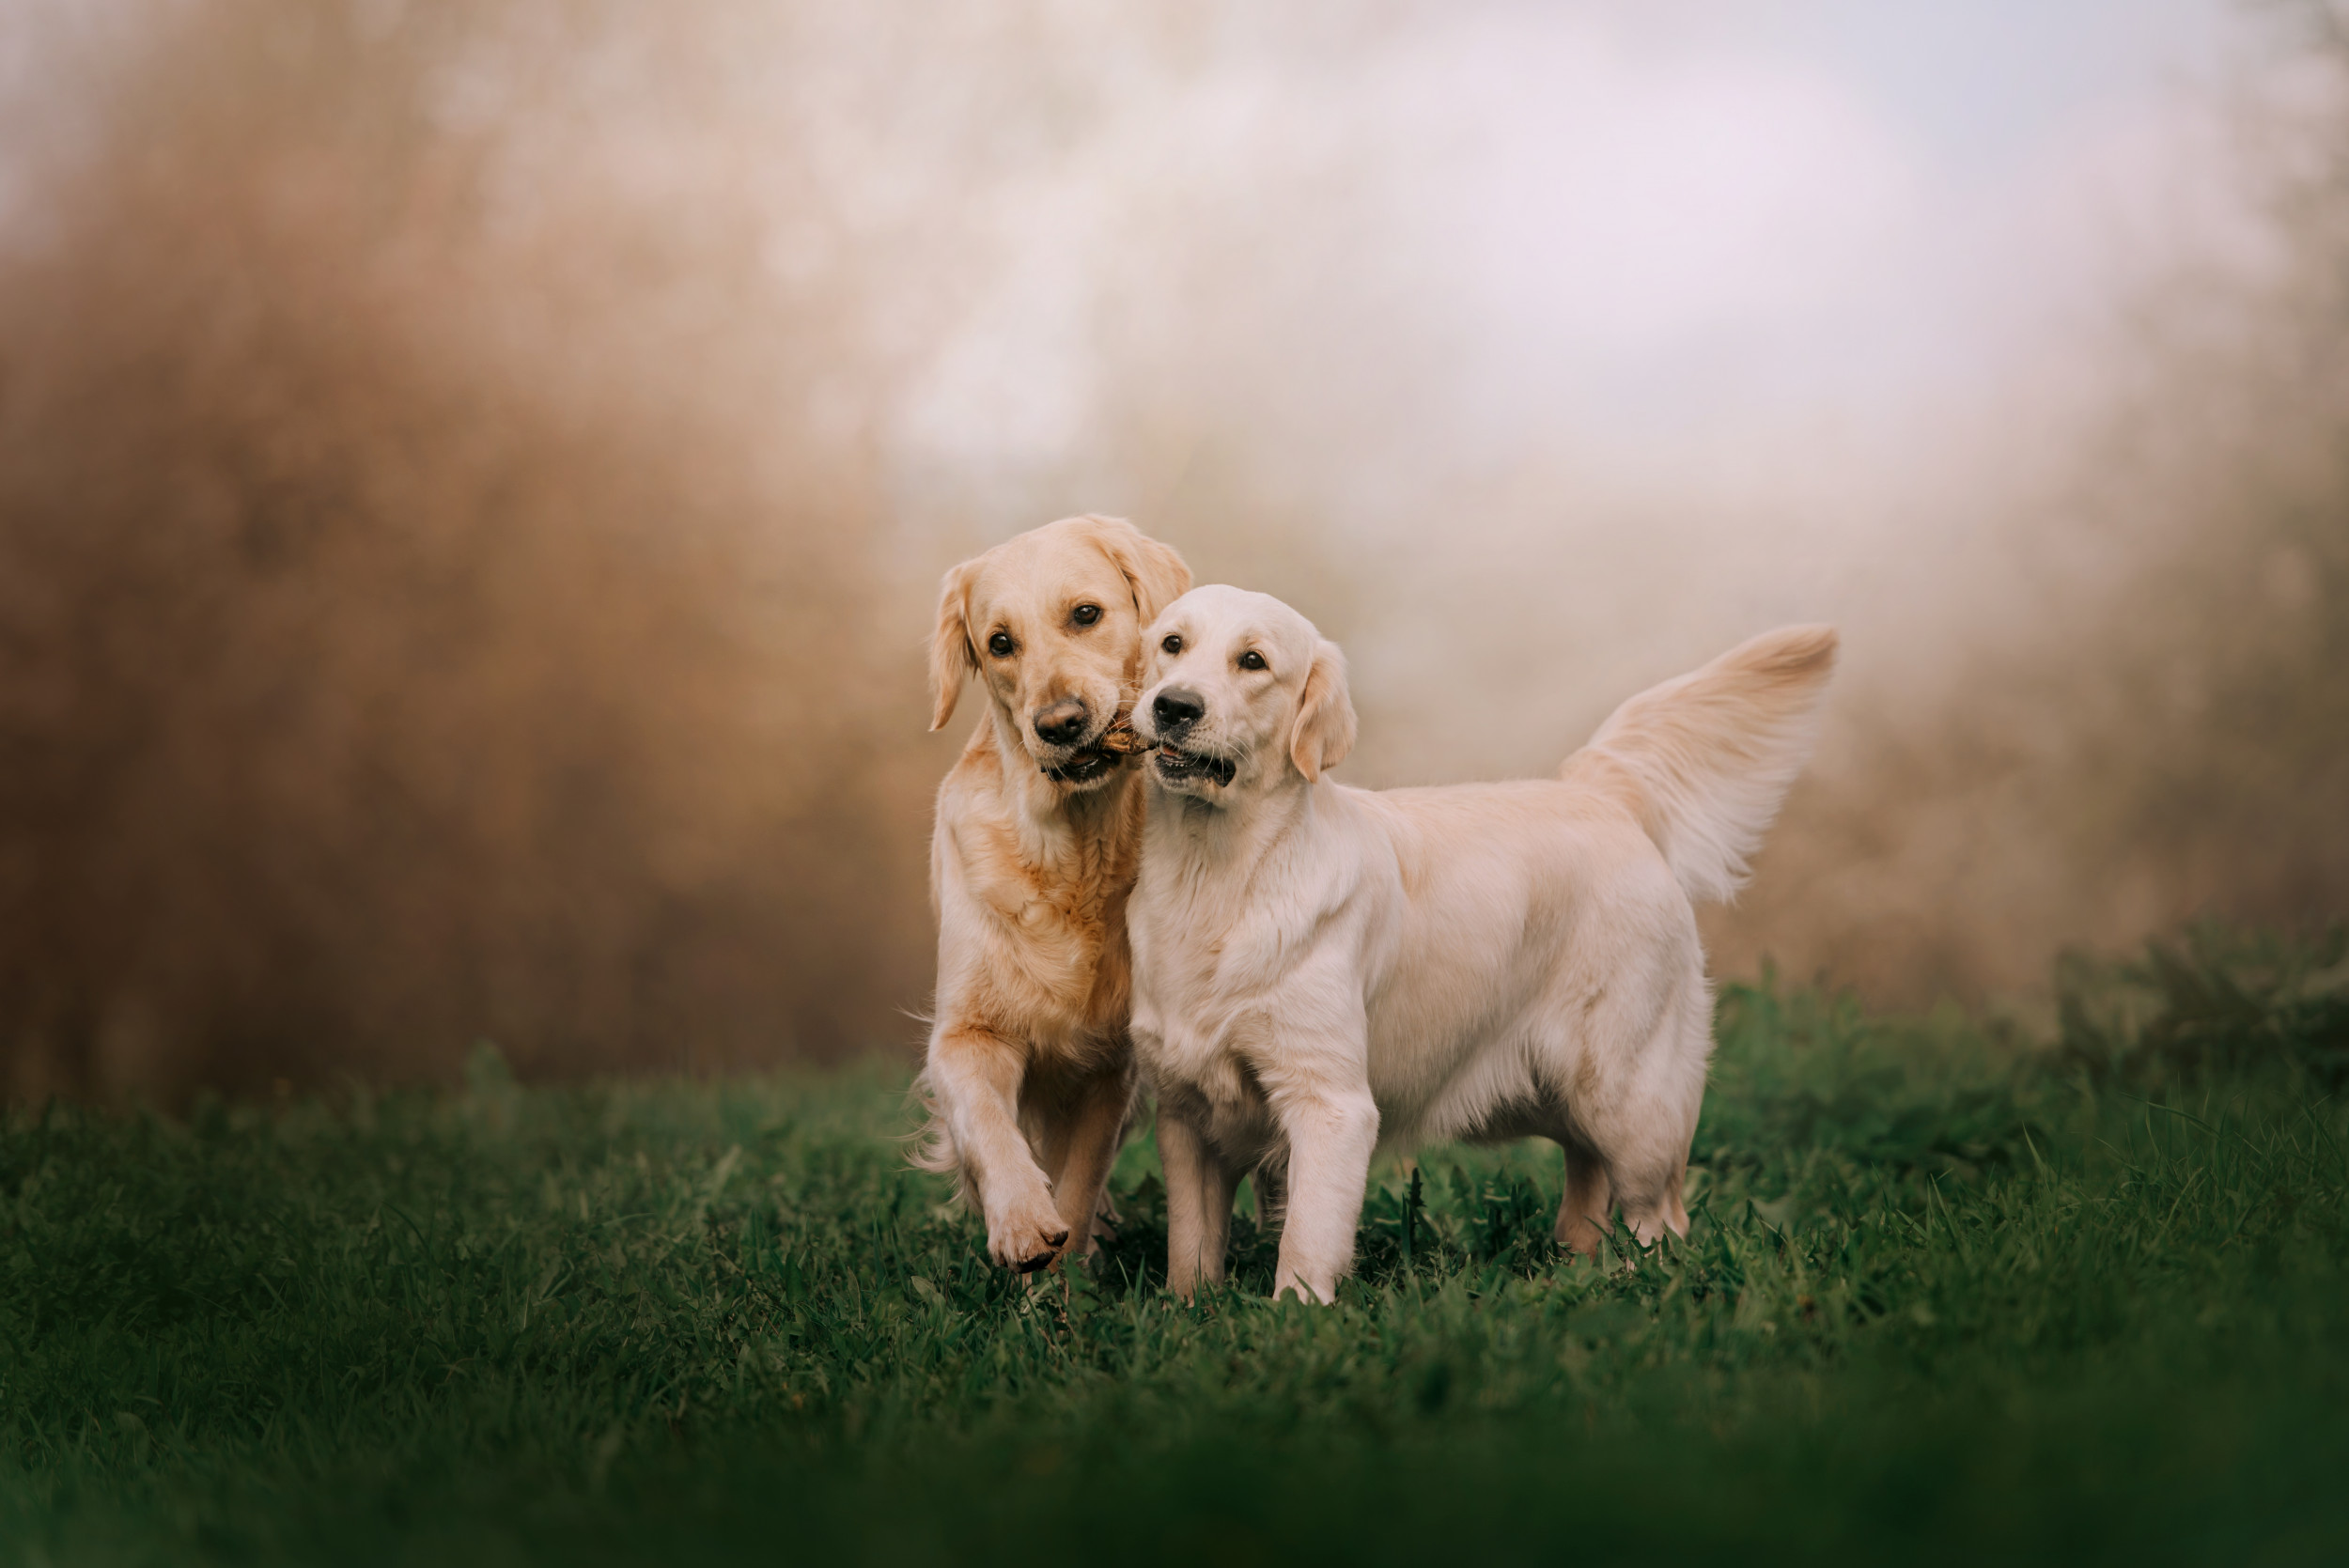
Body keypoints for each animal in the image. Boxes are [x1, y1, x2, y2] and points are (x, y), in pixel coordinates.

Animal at [907, 516, 1184, 1277]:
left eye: (1086, 614)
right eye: (999, 642)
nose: (1060, 723)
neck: (1070, 851)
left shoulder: (1109, 1065)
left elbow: (1080, 1180)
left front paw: (1061, 1279)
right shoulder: (967, 1031)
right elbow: (987, 1123)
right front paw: (1020, 1219)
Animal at [1128, 584, 1842, 1296]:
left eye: (1253, 660)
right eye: (1172, 644)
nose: (1174, 706)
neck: (1217, 878)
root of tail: (1600, 795)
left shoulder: (1330, 1102)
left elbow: (1305, 1240)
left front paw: (1293, 1312)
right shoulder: (1184, 1113)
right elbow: (1190, 1243)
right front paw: (1190, 1307)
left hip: (1628, 1093)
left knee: (1658, 1212)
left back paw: (1635, 1284)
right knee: (1589, 1177)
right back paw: (1576, 1273)